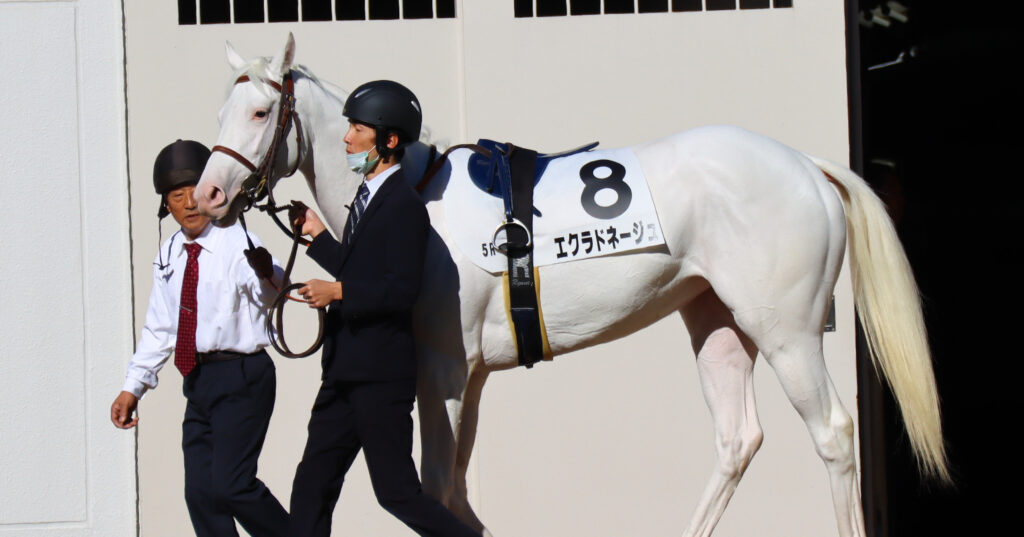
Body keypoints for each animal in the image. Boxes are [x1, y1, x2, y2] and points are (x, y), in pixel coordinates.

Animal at [195, 35, 949, 537]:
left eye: (260, 114)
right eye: (221, 113)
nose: (207, 196)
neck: (413, 190)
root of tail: (806, 163)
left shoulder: (442, 371)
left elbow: (436, 486)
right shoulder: (470, 376)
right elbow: (455, 488)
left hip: (786, 330)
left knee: (832, 433)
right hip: (717, 322)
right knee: (737, 439)